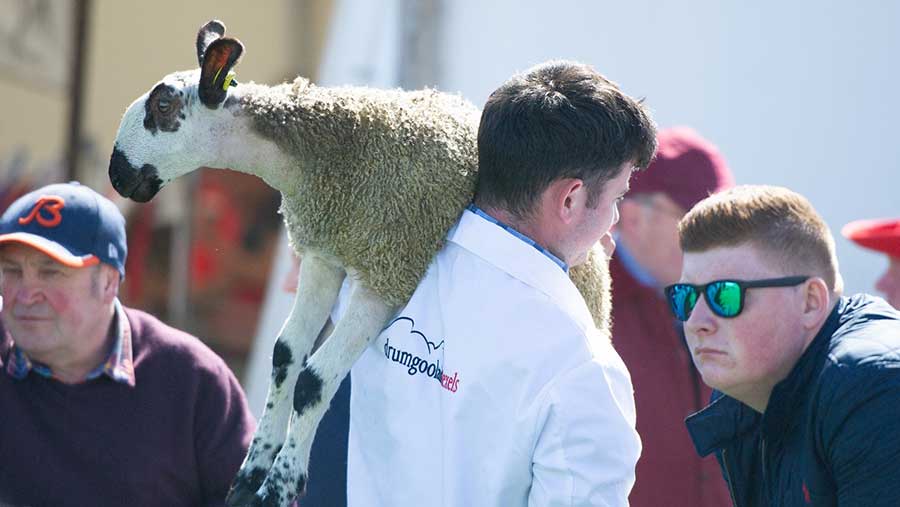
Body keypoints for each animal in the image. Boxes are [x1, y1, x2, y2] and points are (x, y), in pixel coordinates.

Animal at [105, 19, 612, 507]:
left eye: (163, 108)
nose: (116, 175)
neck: (327, 154)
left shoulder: (389, 269)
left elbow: (313, 381)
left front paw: (281, 485)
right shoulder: (323, 255)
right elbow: (285, 356)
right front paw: (251, 475)